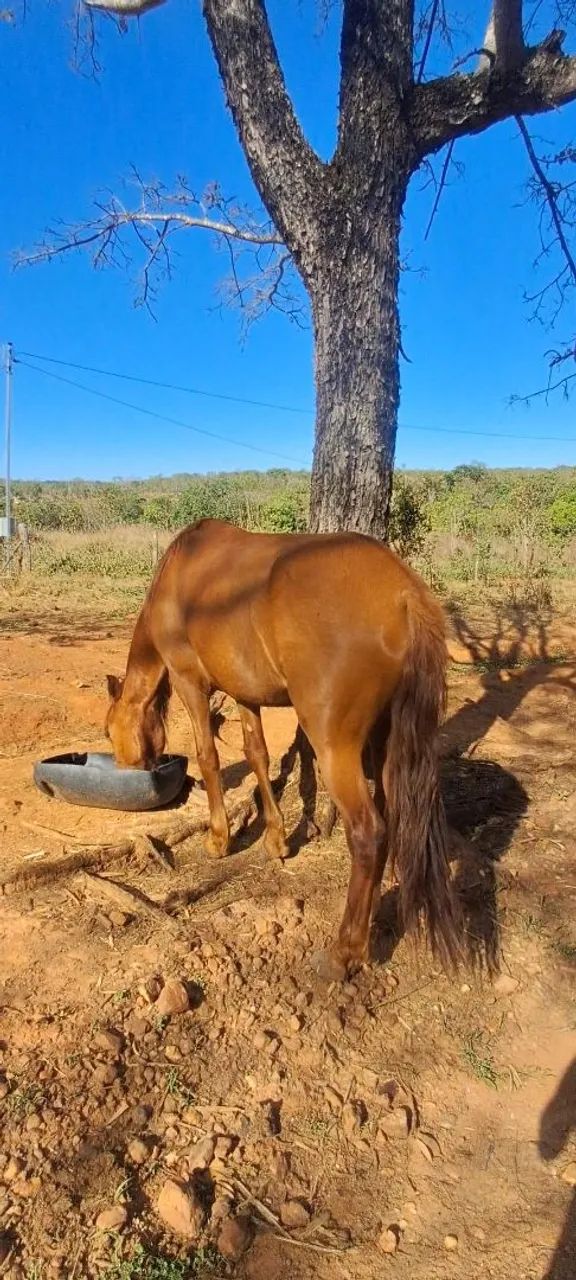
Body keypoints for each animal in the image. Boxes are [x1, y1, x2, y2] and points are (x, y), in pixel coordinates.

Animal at [105, 518, 460, 980]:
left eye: (108, 731)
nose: (128, 767)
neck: (179, 575)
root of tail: (402, 592)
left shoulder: (190, 683)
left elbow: (208, 756)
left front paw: (219, 838)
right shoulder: (244, 692)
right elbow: (257, 754)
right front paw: (276, 839)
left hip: (335, 748)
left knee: (369, 834)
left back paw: (344, 952)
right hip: (389, 742)